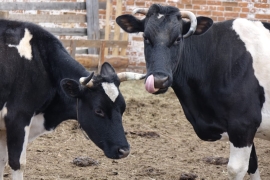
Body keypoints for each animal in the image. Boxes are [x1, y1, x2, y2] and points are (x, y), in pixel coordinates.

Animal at [0, 19, 144, 179]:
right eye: (99, 110)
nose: (124, 151)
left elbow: (2, 160)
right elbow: (17, 163)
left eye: (123, 108)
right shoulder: (18, 118)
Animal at [117, 2, 270, 180]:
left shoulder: (243, 125)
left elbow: (236, 169)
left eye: (178, 39)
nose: (159, 80)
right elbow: (253, 165)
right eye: (146, 38)